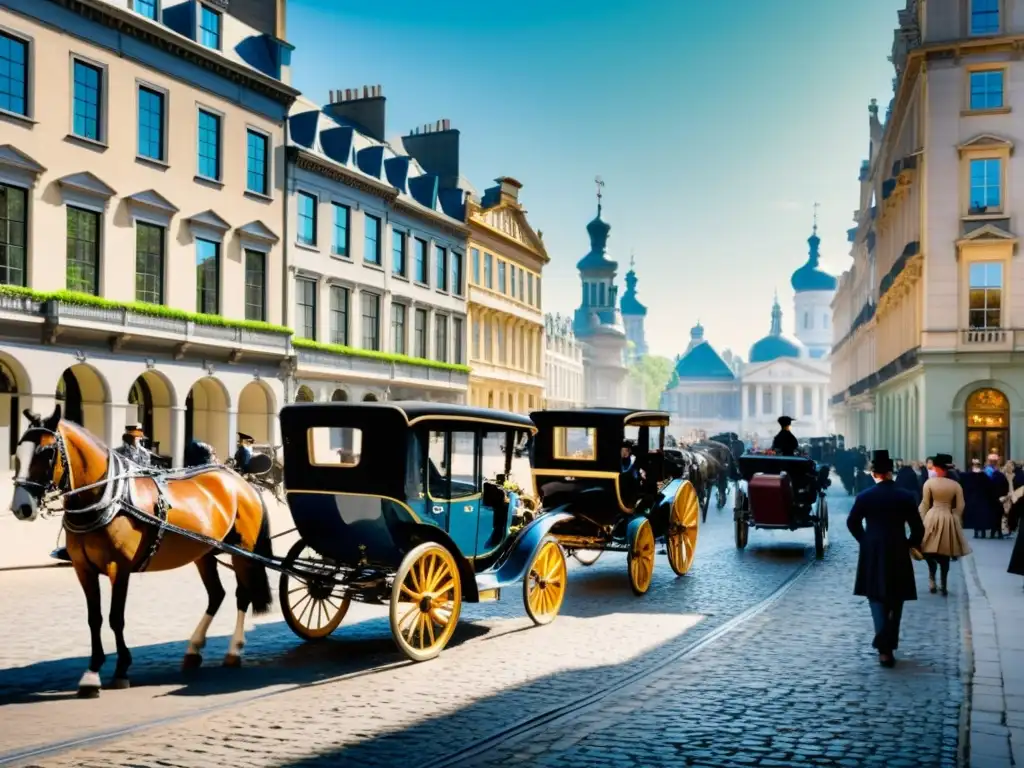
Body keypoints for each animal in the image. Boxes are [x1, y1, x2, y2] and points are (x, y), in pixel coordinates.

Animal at [9, 405, 274, 700]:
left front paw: (121, 669)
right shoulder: (83, 568)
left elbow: (115, 618)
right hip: (205, 553)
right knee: (216, 595)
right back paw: (193, 649)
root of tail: (240, 480)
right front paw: (92, 673)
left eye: (47, 452)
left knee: (243, 594)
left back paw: (234, 649)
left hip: (243, 551)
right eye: (18, 449)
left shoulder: (118, 567)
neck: (109, 498)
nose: (21, 507)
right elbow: (94, 619)